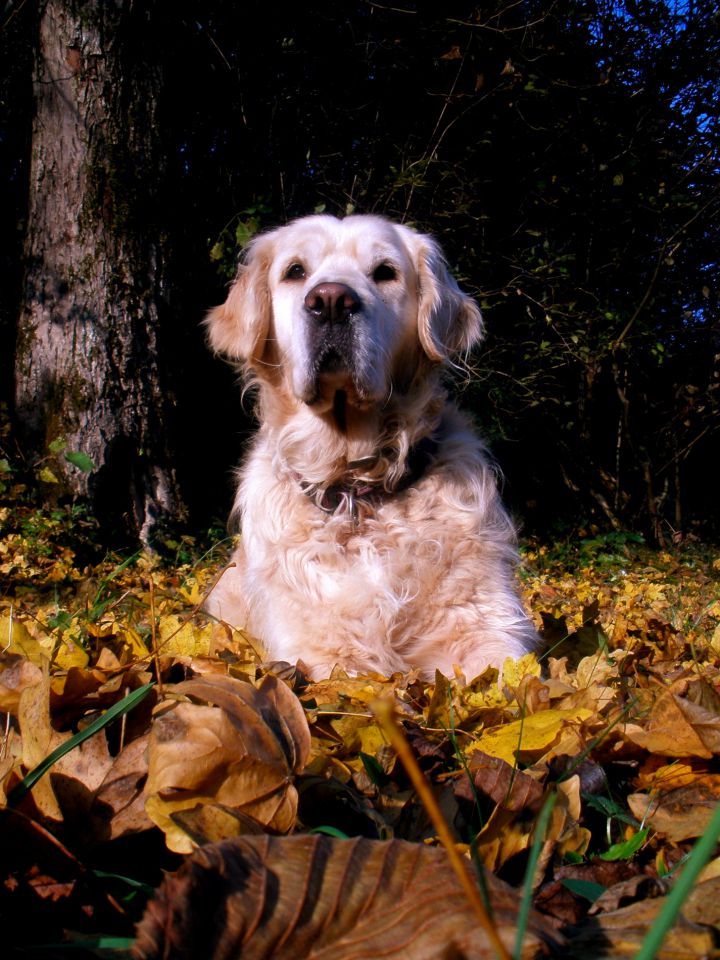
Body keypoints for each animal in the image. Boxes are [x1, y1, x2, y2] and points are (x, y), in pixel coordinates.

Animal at [205, 216, 536, 684]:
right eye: (295, 271)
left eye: (385, 272)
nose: (330, 301)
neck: (356, 490)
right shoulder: (321, 648)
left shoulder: (486, 626)